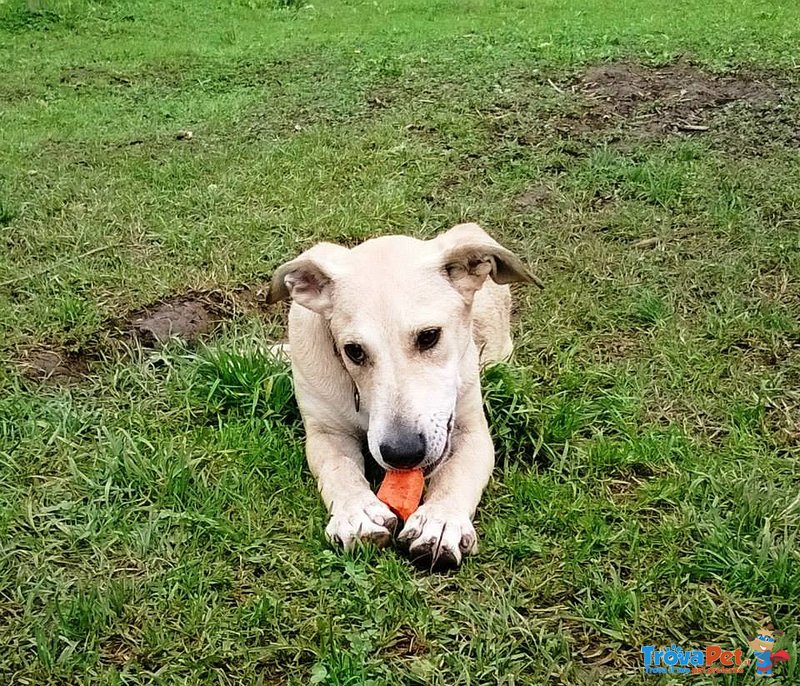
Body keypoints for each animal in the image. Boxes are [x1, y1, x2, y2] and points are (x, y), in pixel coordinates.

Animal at [268, 224, 536, 568]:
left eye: (429, 336)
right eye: (353, 351)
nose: (402, 453)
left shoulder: (471, 429)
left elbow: (456, 474)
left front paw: (441, 521)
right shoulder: (325, 432)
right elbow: (339, 470)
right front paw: (357, 513)